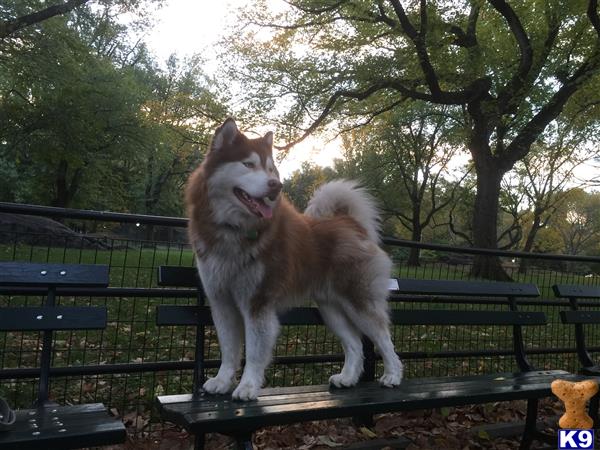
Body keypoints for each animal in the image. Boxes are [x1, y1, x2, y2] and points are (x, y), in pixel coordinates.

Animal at [188, 118, 404, 400]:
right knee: (355, 344)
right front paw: (222, 381)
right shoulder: (221, 301)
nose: (275, 185)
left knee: (384, 339)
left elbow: (254, 352)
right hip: (331, 309)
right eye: (248, 164)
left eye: (271, 169)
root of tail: (350, 223)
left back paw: (393, 375)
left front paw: (247, 386)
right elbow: (229, 350)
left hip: (359, 302)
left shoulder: (258, 303)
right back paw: (347, 378)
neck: (231, 229)